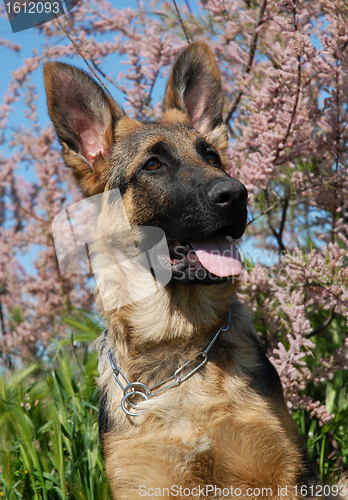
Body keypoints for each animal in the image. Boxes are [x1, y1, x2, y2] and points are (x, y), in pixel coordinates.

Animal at [44, 43, 326, 500]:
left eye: (212, 157)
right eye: (153, 165)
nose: (237, 194)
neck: (178, 346)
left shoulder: (280, 474)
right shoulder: (144, 482)